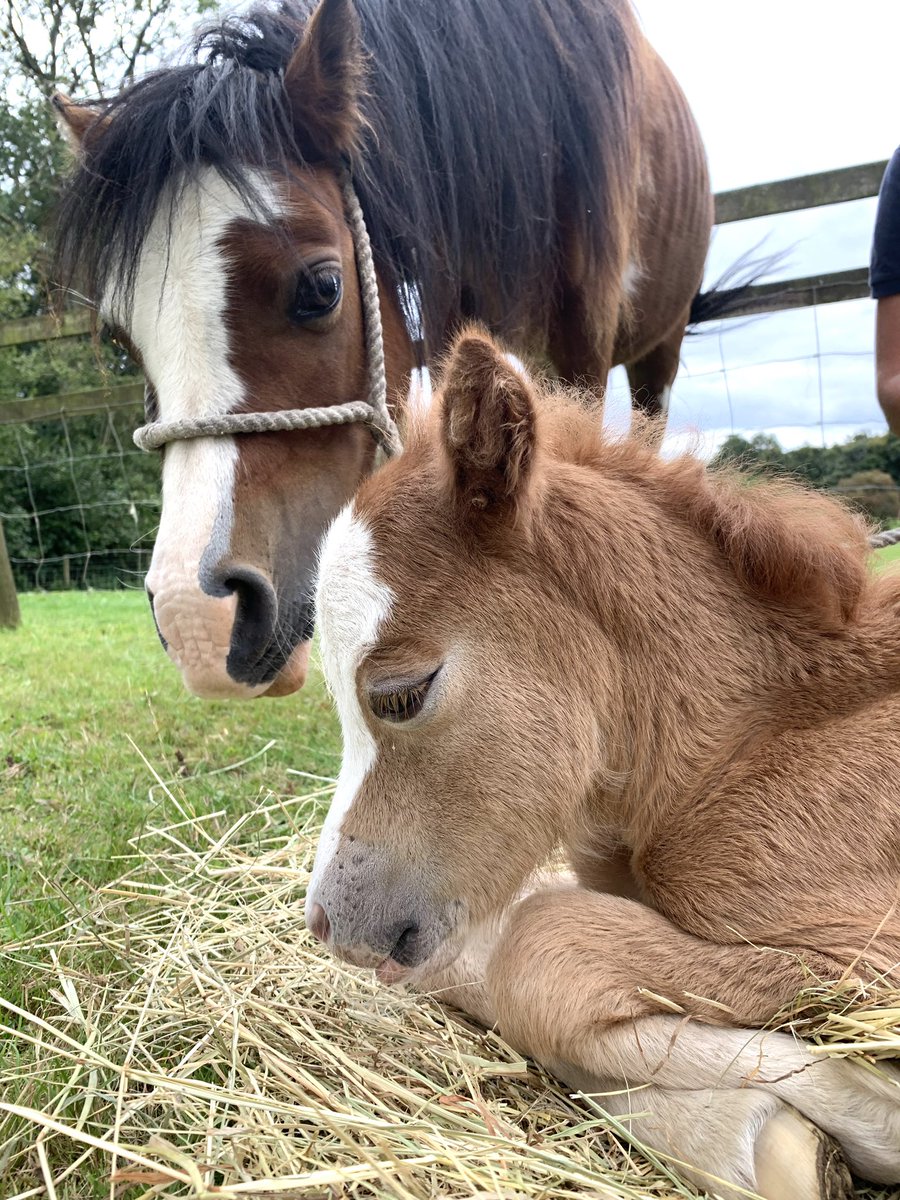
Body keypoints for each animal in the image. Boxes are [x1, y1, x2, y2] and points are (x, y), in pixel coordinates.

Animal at [305, 327, 900, 1199]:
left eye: (402, 693)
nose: (328, 925)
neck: (743, 745)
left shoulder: (857, 949)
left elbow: (541, 948)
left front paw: (863, 1105)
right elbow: (491, 959)